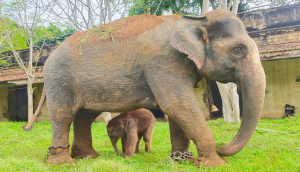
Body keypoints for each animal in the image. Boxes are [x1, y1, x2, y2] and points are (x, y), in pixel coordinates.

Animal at [25, 9, 264, 167]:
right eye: (239, 49)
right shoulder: (163, 61)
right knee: (63, 115)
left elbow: (176, 110)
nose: (223, 147)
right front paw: (213, 164)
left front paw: (180, 160)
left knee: (85, 116)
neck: (193, 18)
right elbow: (177, 104)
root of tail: (49, 57)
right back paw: (62, 163)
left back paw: (88, 157)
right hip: (59, 80)